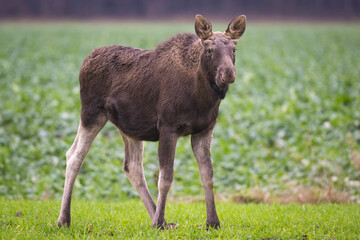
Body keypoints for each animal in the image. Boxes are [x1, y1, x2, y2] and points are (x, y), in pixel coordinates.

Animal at [57, 14, 246, 229]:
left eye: (233, 49)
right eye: (209, 50)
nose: (228, 73)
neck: (202, 97)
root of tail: (85, 61)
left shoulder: (204, 129)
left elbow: (208, 175)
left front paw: (212, 222)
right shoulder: (168, 127)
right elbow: (166, 178)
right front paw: (160, 221)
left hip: (128, 126)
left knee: (132, 166)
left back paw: (157, 217)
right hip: (91, 113)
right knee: (74, 156)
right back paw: (64, 219)